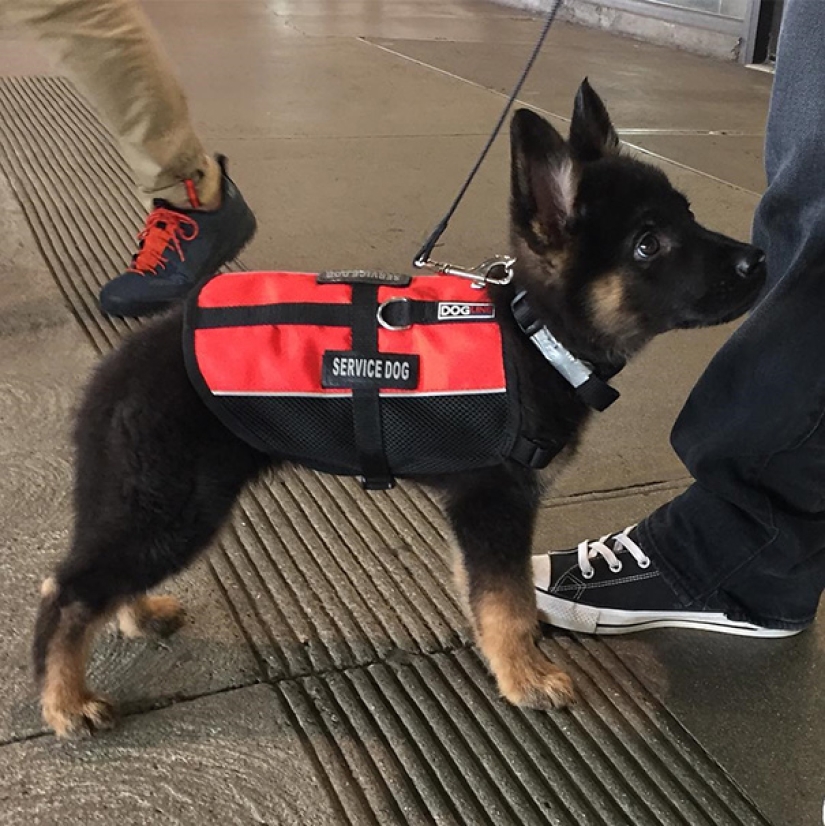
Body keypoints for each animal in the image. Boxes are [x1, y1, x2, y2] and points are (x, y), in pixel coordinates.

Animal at [33, 82, 768, 732]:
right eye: (648, 243)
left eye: (688, 213)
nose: (758, 261)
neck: (535, 334)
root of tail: (115, 370)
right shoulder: (495, 502)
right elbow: (508, 604)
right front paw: (525, 679)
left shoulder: (480, 513)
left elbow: (490, 596)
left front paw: (508, 663)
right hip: (175, 505)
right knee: (65, 590)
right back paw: (65, 702)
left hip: (152, 504)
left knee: (95, 578)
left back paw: (134, 618)